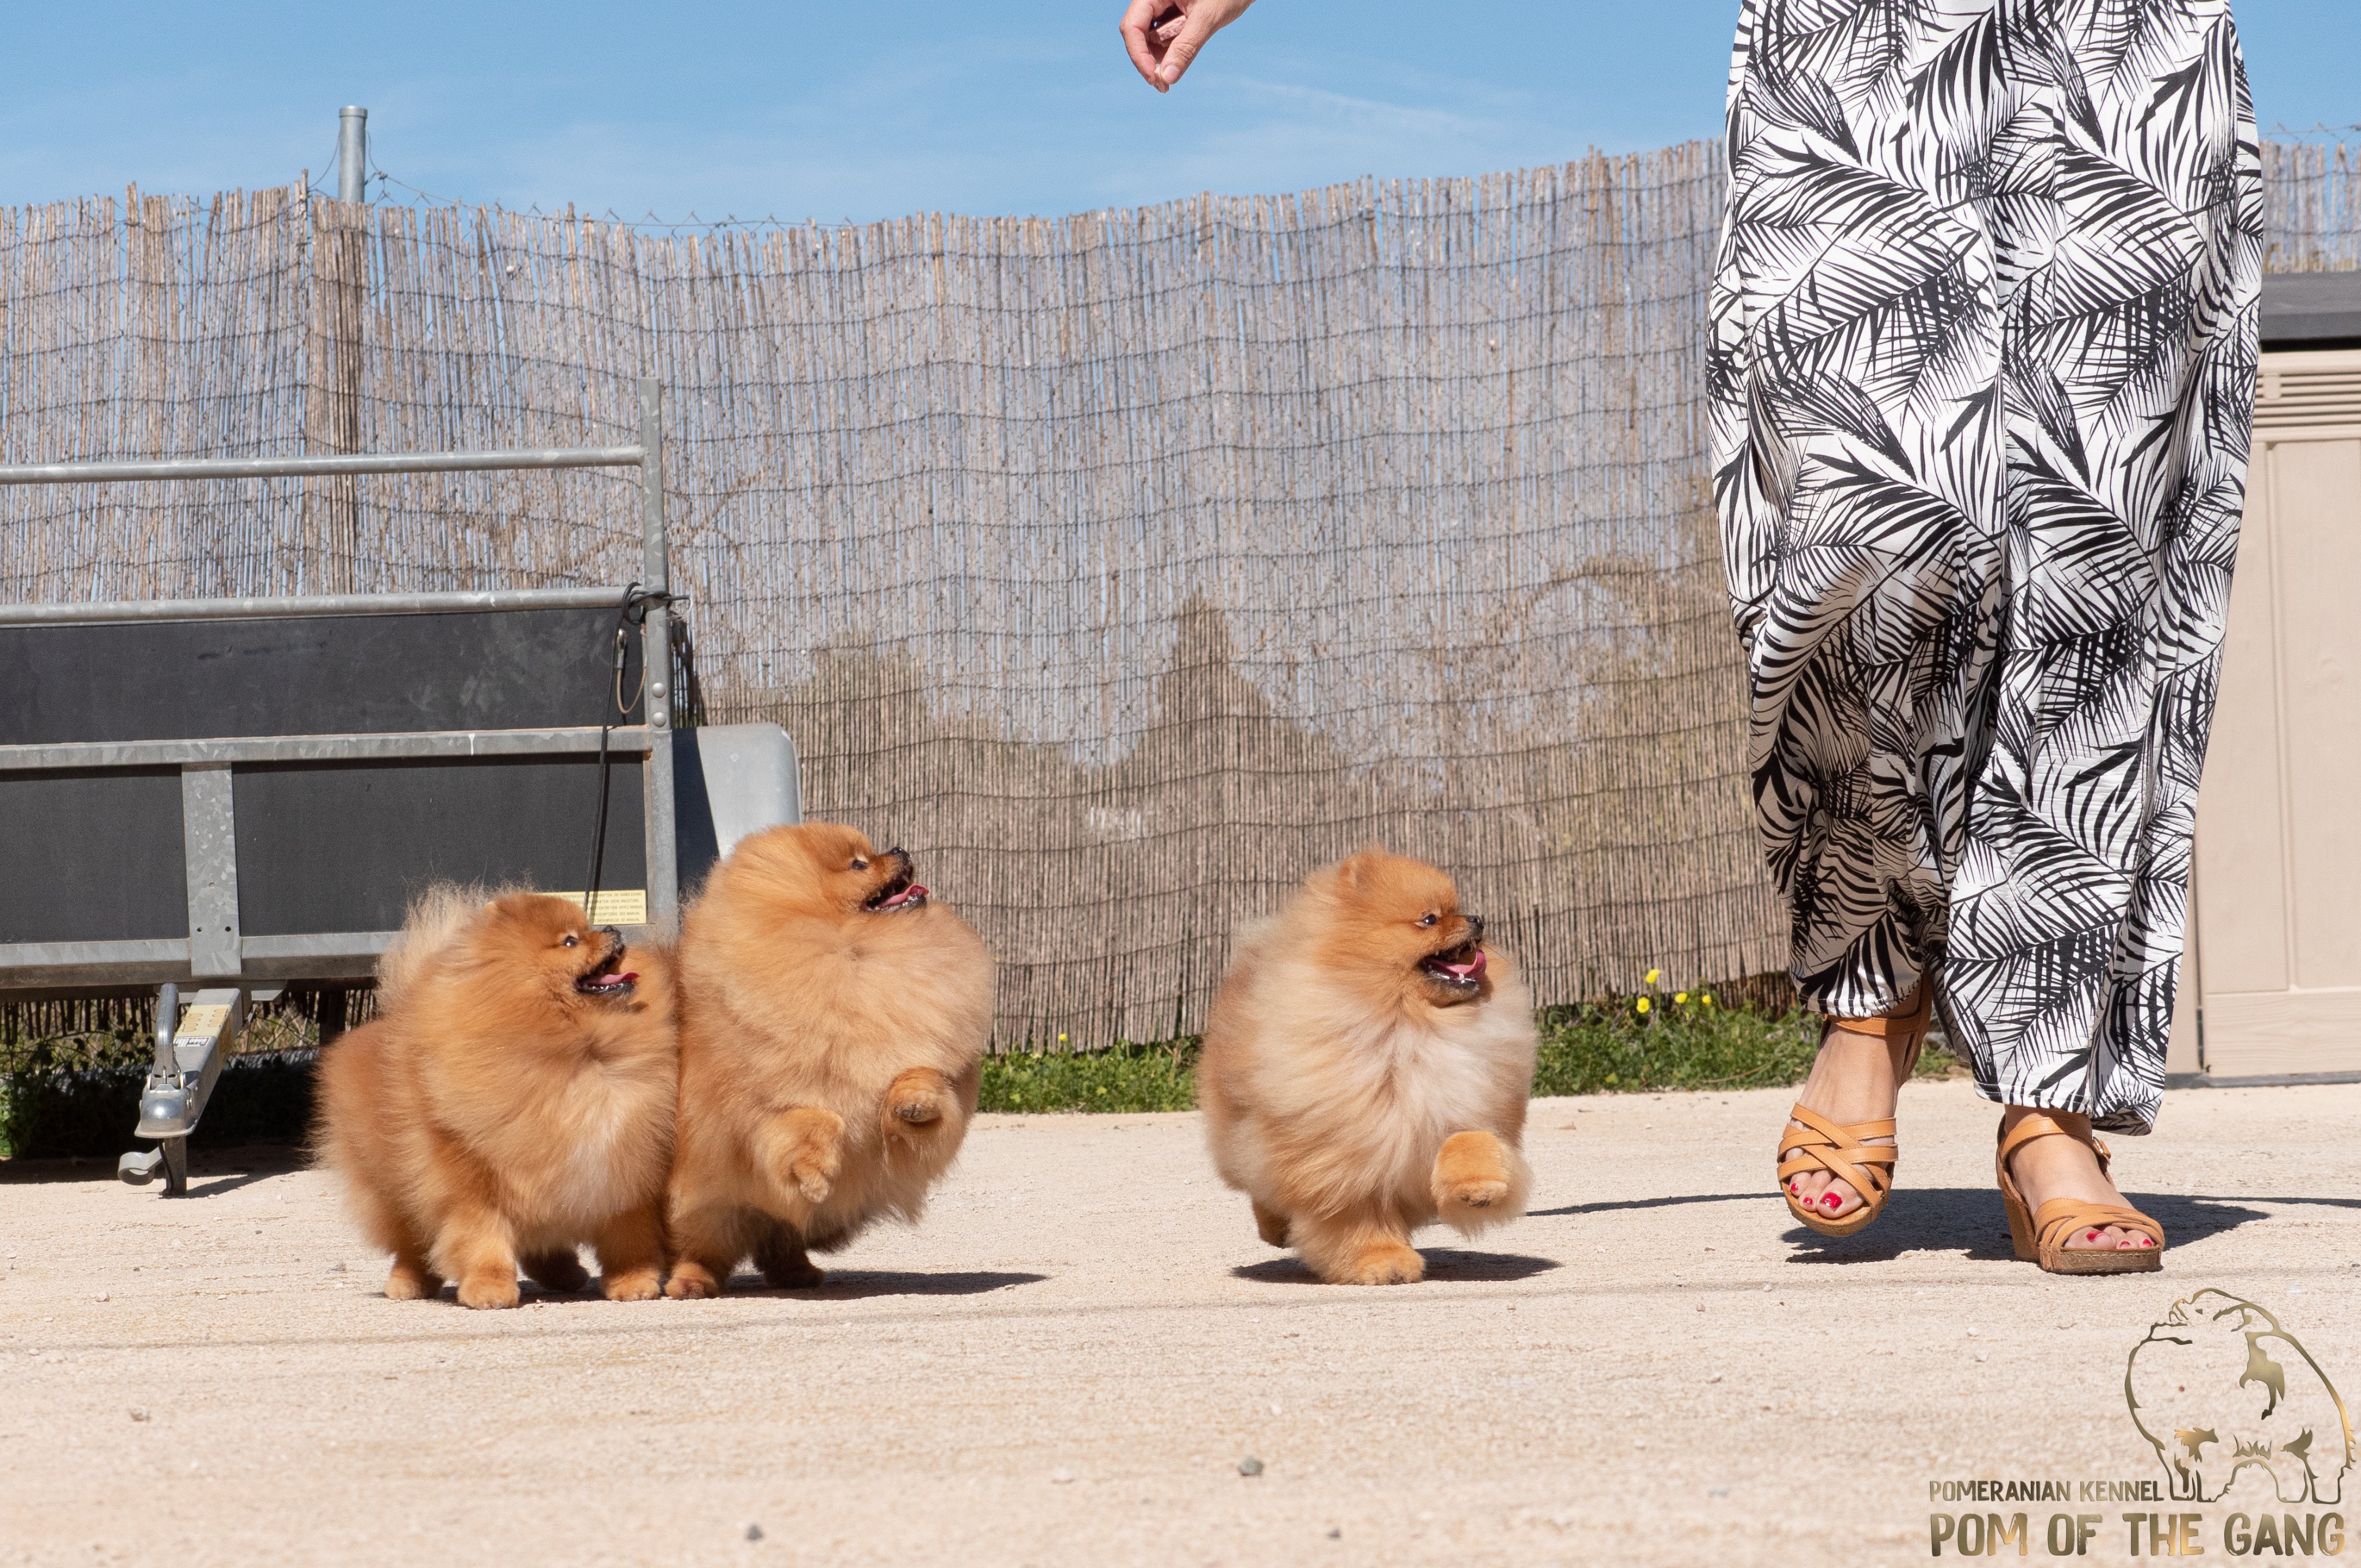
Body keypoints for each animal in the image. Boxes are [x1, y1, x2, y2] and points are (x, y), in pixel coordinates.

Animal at [307, 888, 675, 1303]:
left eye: (590, 926)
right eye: (570, 941)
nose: (612, 928)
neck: (583, 1055)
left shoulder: (625, 1169)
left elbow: (628, 1237)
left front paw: (633, 1280)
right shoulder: (471, 1180)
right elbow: (483, 1237)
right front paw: (489, 1287)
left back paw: (564, 1274)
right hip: (392, 1189)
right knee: (413, 1243)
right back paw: (408, 1283)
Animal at [666, 821, 996, 1294]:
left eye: (873, 852)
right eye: (859, 865)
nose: (899, 848)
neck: (855, 953)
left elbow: (921, 1074)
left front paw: (914, 1103)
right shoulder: (751, 1112)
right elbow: (819, 1119)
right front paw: (817, 1174)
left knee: (778, 1240)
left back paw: (798, 1273)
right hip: (711, 1205)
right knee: (703, 1246)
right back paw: (692, 1282)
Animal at [1199, 850, 1548, 1284]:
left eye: (1458, 909)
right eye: (1430, 919)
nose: (1477, 918)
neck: (1410, 1030)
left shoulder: (1459, 1104)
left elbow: (1469, 1141)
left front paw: (1478, 1189)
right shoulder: (1343, 1156)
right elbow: (1358, 1218)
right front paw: (1382, 1262)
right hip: (1246, 1138)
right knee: (1260, 1185)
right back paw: (1275, 1229)